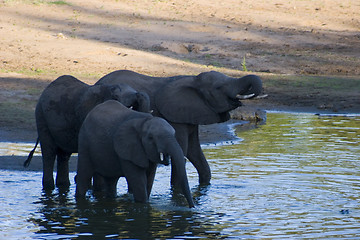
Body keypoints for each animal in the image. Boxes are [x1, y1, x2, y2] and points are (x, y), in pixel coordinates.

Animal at [95, 69, 264, 186]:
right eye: (218, 88)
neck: (193, 80)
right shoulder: (174, 116)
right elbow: (183, 150)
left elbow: (194, 151)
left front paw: (205, 184)